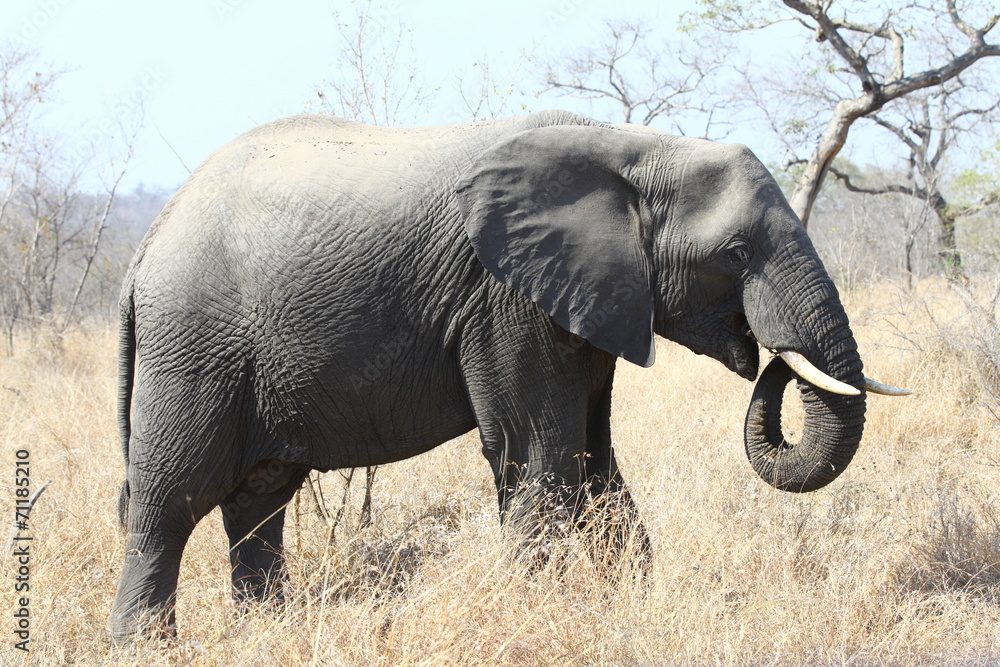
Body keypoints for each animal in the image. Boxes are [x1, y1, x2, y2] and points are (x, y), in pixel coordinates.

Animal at [109, 110, 906, 643]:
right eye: (736, 255)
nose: (767, 357)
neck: (634, 149)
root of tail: (144, 246)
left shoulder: (587, 298)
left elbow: (595, 464)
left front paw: (621, 607)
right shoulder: (504, 297)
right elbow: (540, 460)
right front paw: (546, 613)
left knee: (258, 499)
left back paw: (268, 634)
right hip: (194, 343)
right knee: (171, 498)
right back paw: (146, 647)